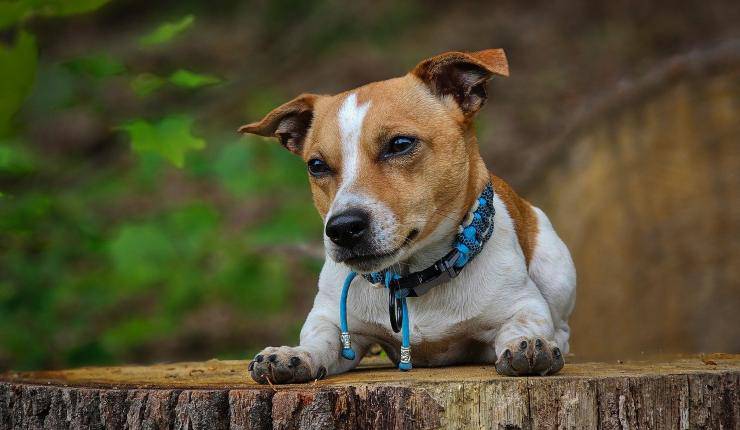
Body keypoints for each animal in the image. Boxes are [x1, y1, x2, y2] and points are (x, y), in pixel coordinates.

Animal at [240, 47, 576, 382]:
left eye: (400, 144)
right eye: (316, 165)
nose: (343, 228)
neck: (412, 278)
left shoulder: (525, 305)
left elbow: (523, 324)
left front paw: (530, 344)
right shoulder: (332, 320)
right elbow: (319, 338)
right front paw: (293, 355)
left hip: (555, 268)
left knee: (562, 328)